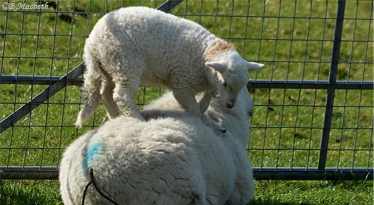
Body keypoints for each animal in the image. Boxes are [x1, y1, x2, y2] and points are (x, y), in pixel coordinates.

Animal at [75, 6, 262, 128]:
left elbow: (204, 103)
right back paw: (137, 119)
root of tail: (91, 43)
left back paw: (115, 117)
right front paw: (200, 122)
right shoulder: (182, 84)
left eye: (243, 86)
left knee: (105, 94)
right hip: (126, 64)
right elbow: (194, 108)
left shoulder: (206, 83)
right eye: (225, 83)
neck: (206, 53)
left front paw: (210, 120)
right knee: (121, 96)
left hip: (110, 66)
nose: (230, 105)